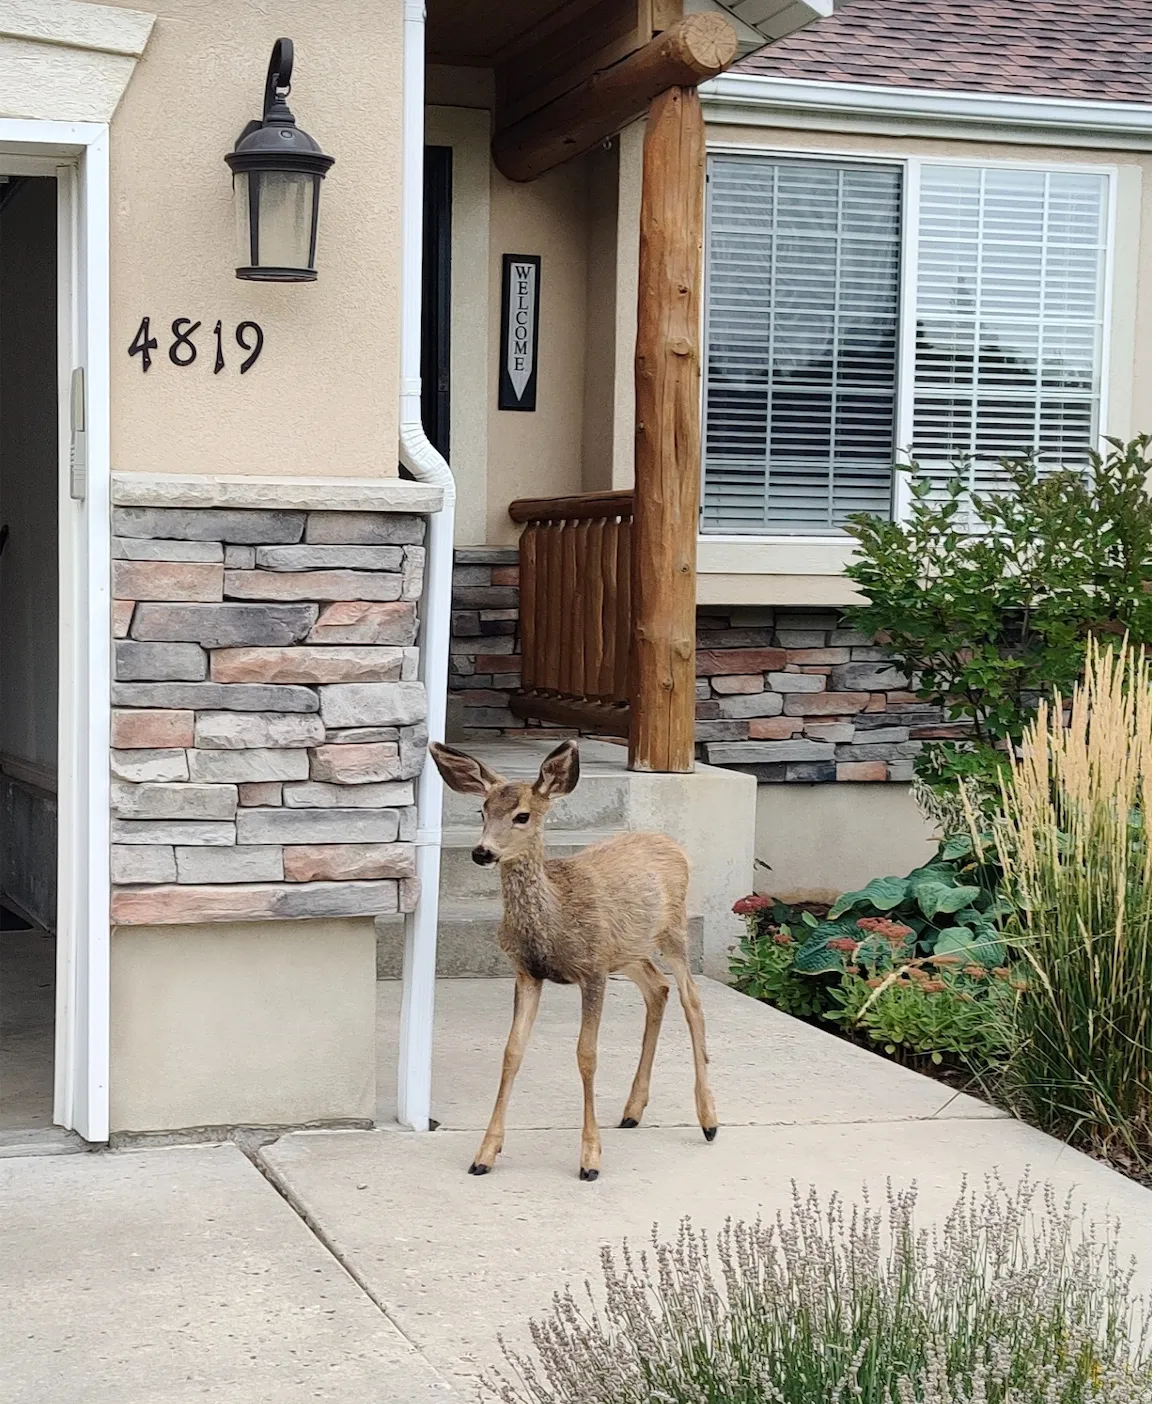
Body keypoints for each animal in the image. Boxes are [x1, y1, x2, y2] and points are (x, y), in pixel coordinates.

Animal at [429, 738, 717, 1181]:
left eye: (522, 815)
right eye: (482, 811)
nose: (482, 852)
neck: (553, 917)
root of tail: (671, 843)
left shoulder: (592, 970)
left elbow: (587, 1055)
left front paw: (590, 1158)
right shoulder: (527, 973)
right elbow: (511, 1052)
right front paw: (485, 1154)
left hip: (673, 931)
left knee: (693, 1000)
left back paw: (708, 1120)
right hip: (628, 949)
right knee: (658, 988)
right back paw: (632, 1111)